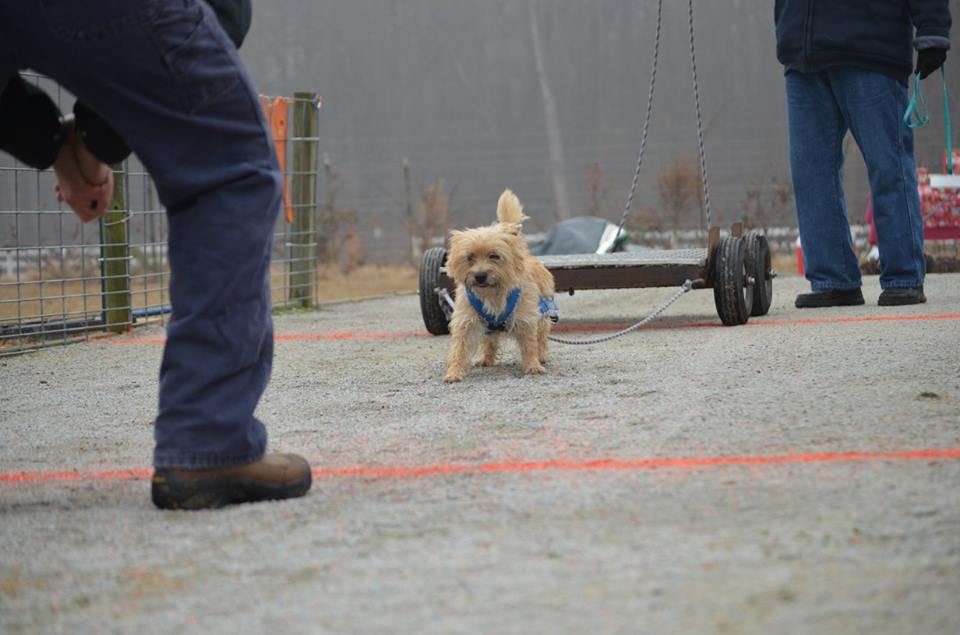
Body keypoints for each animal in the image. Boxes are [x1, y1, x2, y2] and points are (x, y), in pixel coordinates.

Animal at [440, 189, 556, 382]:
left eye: (494, 256)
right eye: (470, 257)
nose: (480, 276)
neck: (492, 294)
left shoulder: (526, 318)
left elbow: (529, 344)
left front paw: (532, 366)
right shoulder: (465, 321)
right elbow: (459, 348)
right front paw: (454, 372)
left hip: (543, 312)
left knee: (541, 337)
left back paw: (541, 356)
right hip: (488, 328)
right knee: (490, 342)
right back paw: (486, 359)